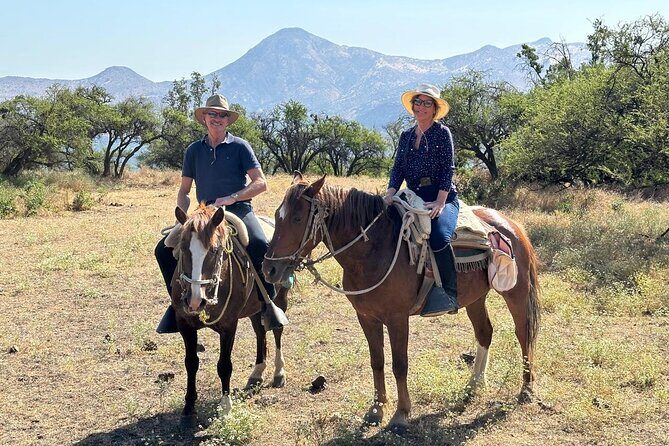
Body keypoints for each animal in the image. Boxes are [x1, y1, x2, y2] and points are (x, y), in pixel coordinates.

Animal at [171, 203, 289, 417]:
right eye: (183, 248)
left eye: (214, 250)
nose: (195, 301)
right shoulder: (184, 323)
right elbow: (191, 362)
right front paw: (189, 405)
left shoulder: (228, 326)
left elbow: (224, 366)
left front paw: (226, 407)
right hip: (254, 308)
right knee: (260, 332)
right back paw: (257, 373)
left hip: (279, 299)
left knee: (277, 330)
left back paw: (278, 373)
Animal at [262, 173, 541, 433]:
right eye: (277, 216)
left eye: (298, 218)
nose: (269, 269)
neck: (374, 250)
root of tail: (512, 225)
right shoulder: (367, 317)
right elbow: (377, 361)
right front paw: (376, 409)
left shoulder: (397, 318)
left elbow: (400, 365)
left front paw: (401, 414)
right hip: (475, 298)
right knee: (484, 332)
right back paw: (473, 386)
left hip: (515, 293)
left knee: (523, 333)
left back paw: (526, 389)